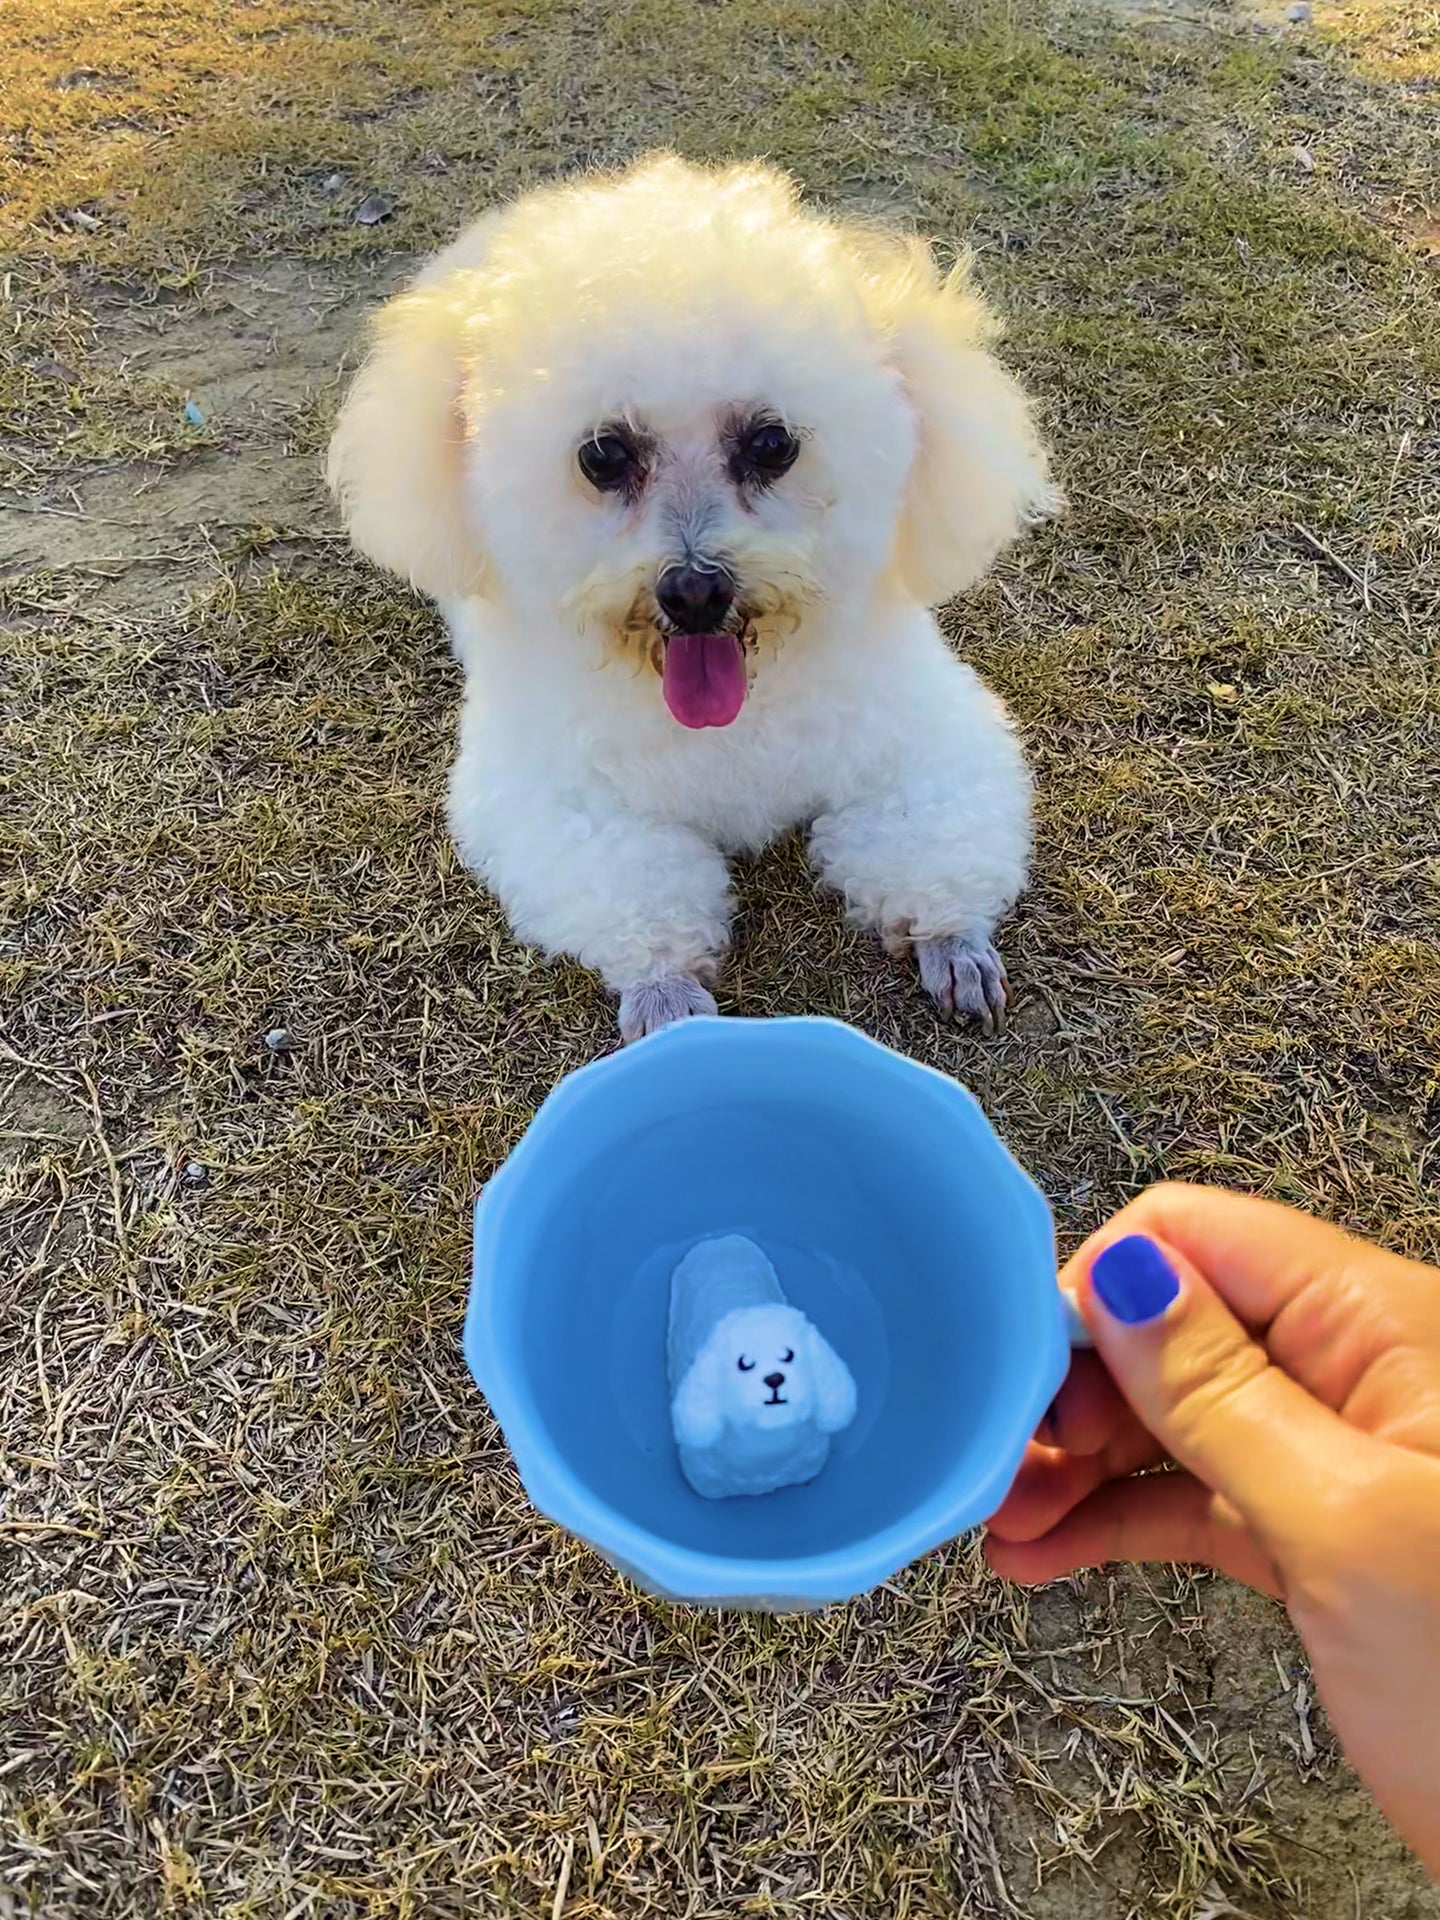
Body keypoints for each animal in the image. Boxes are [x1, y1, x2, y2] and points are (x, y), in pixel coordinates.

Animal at [330, 157, 1059, 1044]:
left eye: (772, 444)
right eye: (603, 455)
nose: (695, 591)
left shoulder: (924, 740)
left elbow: (930, 836)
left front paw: (952, 941)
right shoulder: (560, 799)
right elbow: (638, 892)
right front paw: (667, 994)